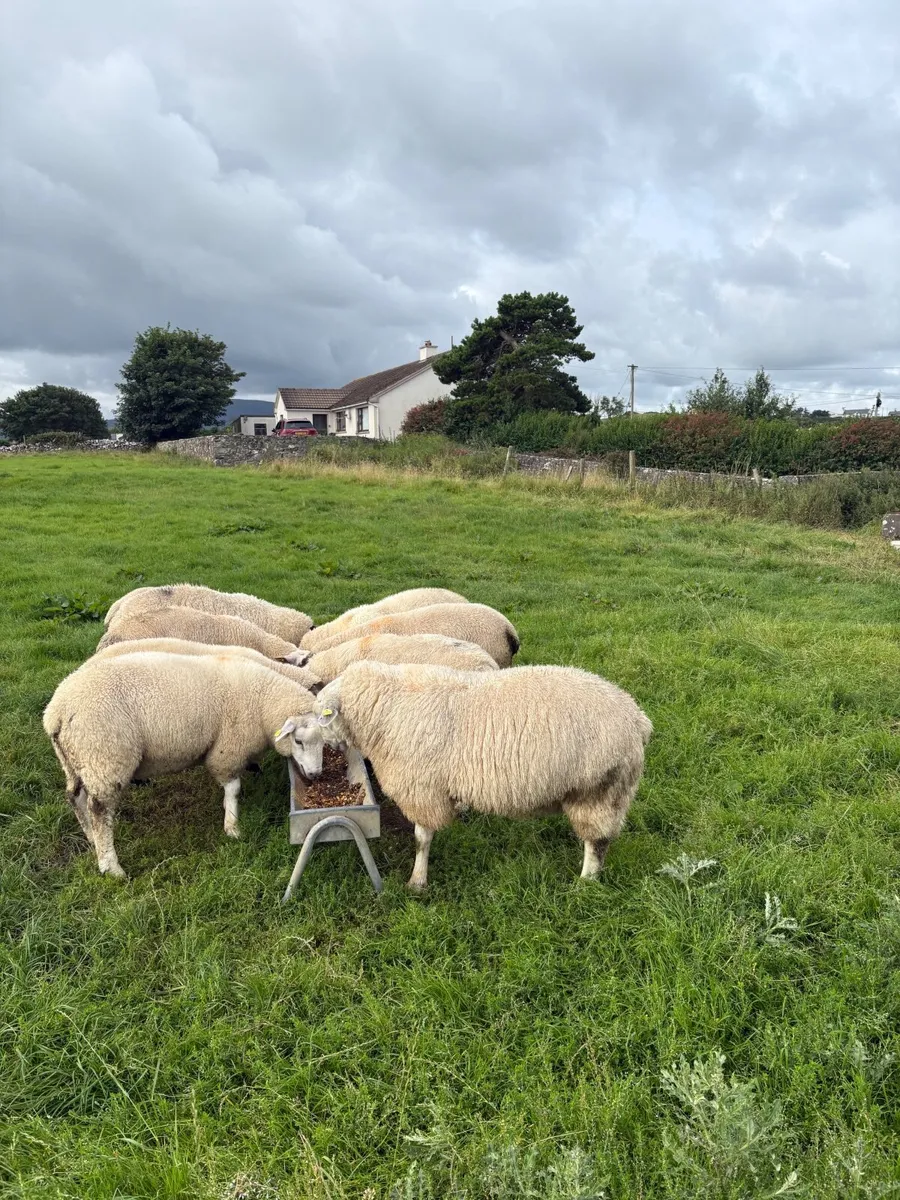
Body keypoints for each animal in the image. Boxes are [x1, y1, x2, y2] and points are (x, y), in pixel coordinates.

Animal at [42, 651, 324, 879]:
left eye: (324, 742)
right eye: (298, 741)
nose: (315, 774)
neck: (263, 699)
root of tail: (56, 712)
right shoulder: (227, 749)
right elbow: (233, 789)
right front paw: (232, 827)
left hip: (77, 761)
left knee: (76, 799)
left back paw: (91, 839)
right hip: (105, 756)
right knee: (99, 810)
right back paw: (112, 867)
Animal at [306, 661, 652, 890]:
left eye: (323, 717)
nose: (333, 748)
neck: (387, 709)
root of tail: (637, 719)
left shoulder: (422, 788)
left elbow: (421, 839)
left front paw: (417, 882)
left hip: (599, 789)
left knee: (597, 842)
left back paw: (586, 882)